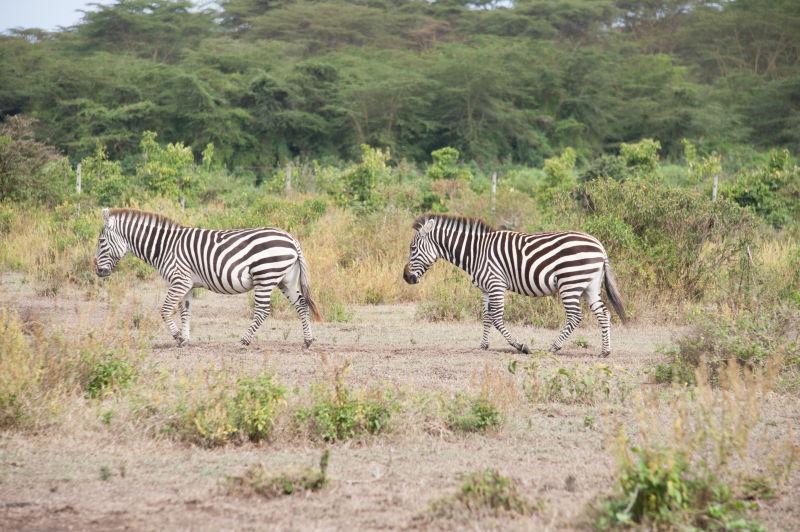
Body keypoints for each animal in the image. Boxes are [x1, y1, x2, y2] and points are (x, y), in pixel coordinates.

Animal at [92, 208, 320, 350]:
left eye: (101, 241)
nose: (98, 271)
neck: (165, 246)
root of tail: (291, 239)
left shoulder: (179, 280)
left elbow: (165, 310)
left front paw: (177, 337)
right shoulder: (187, 284)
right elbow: (185, 311)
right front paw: (185, 340)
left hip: (265, 276)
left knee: (263, 310)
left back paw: (244, 341)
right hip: (286, 279)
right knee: (301, 305)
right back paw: (308, 341)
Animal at [400, 214, 624, 356]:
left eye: (412, 248)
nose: (406, 277)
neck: (475, 252)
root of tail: (599, 245)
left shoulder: (496, 284)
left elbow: (497, 318)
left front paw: (521, 346)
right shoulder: (486, 289)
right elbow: (486, 316)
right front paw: (483, 345)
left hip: (570, 282)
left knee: (575, 316)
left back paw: (554, 347)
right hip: (589, 286)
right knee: (604, 313)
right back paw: (605, 351)